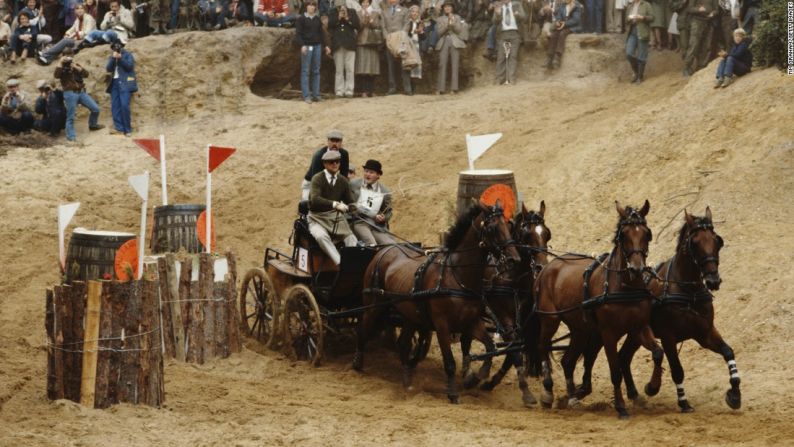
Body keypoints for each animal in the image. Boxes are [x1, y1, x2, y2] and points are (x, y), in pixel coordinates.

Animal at [352, 201, 520, 404]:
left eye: (509, 226)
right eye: (492, 227)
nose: (514, 259)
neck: (456, 275)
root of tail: (384, 250)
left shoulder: (471, 322)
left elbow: (490, 348)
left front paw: (474, 378)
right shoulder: (442, 325)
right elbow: (450, 362)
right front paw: (453, 393)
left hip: (409, 315)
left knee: (403, 344)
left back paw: (407, 380)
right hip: (373, 305)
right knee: (363, 330)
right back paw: (357, 363)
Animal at [464, 203, 552, 410]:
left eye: (547, 234)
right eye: (526, 234)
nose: (541, 266)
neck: (513, 279)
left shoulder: (524, 323)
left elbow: (514, 351)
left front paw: (490, 382)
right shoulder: (504, 318)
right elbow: (515, 353)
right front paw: (527, 393)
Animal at [528, 201, 664, 418]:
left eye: (646, 234)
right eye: (623, 235)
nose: (636, 269)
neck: (625, 287)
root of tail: (546, 269)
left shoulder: (639, 328)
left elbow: (658, 352)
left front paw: (652, 387)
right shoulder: (608, 333)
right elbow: (615, 370)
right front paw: (621, 407)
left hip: (580, 329)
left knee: (568, 361)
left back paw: (571, 397)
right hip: (550, 320)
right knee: (543, 346)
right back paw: (548, 393)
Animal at [616, 206, 740, 412]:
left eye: (717, 241)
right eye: (695, 243)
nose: (713, 280)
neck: (689, 292)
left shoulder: (704, 332)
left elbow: (728, 351)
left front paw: (735, 394)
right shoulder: (668, 337)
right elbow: (677, 370)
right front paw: (682, 401)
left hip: (635, 334)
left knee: (623, 357)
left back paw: (634, 395)